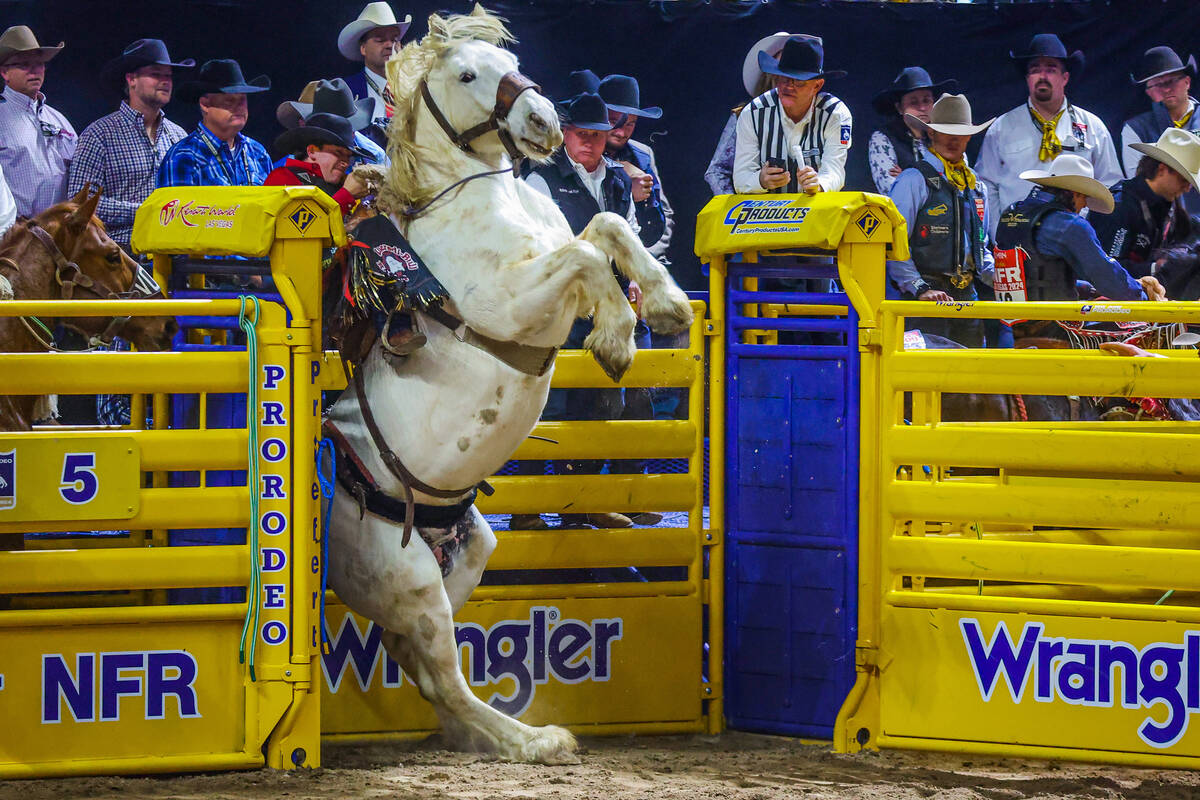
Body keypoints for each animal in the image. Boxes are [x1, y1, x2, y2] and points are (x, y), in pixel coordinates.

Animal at [324, 7, 696, 767]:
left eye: (511, 63)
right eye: (468, 74)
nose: (545, 120)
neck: (483, 199)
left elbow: (605, 226)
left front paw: (669, 303)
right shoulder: (515, 303)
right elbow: (585, 256)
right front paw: (617, 340)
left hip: (469, 557)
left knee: (426, 674)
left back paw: (489, 736)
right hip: (410, 583)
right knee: (443, 674)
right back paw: (535, 741)